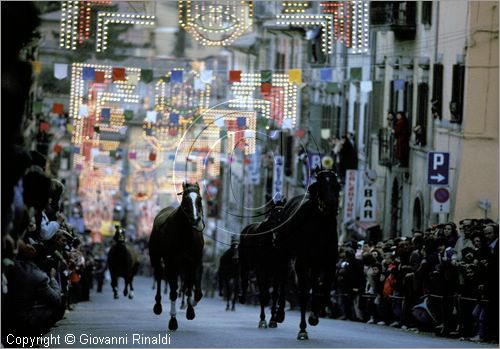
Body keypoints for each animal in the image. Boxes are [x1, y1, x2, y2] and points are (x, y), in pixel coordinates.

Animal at [148, 181, 205, 330]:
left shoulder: (194, 262)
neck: (185, 235)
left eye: (200, 199)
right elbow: (173, 291)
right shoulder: (171, 263)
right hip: (155, 256)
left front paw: (190, 309)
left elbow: (194, 290)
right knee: (159, 276)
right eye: (185, 199)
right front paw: (173, 321)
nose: (195, 219)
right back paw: (158, 306)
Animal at [239, 200, 290, 328]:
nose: (277, 237)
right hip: (246, 264)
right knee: (246, 279)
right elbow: (263, 293)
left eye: (284, 217)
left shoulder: (279, 269)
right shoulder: (261, 268)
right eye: (272, 218)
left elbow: (275, 294)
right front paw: (263, 320)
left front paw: (274, 319)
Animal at [276, 167, 342, 338]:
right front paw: (303, 329)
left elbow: (324, 289)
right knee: (283, 280)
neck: (320, 227)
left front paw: (315, 315)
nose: (331, 205)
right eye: (321, 186)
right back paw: (279, 314)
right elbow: (304, 293)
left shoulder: (328, 263)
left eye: (336, 186)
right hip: (284, 254)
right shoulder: (301, 263)